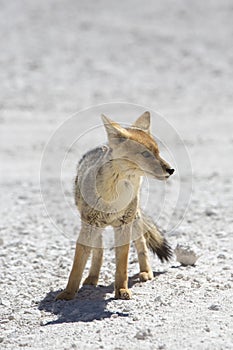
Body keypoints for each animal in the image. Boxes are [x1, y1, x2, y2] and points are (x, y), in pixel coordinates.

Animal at [55, 112, 174, 300]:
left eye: (158, 152)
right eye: (146, 154)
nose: (171, 170)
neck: (114, 197)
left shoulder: (123, 226)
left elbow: (122, 265)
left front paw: (122, 290)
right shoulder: (89, 225)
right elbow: (77, 265)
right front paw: (67, 294)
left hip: (134, 221)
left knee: (141, 244)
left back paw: (146, 272)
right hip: (95, 228)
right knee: (99, 251)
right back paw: (92, 277)